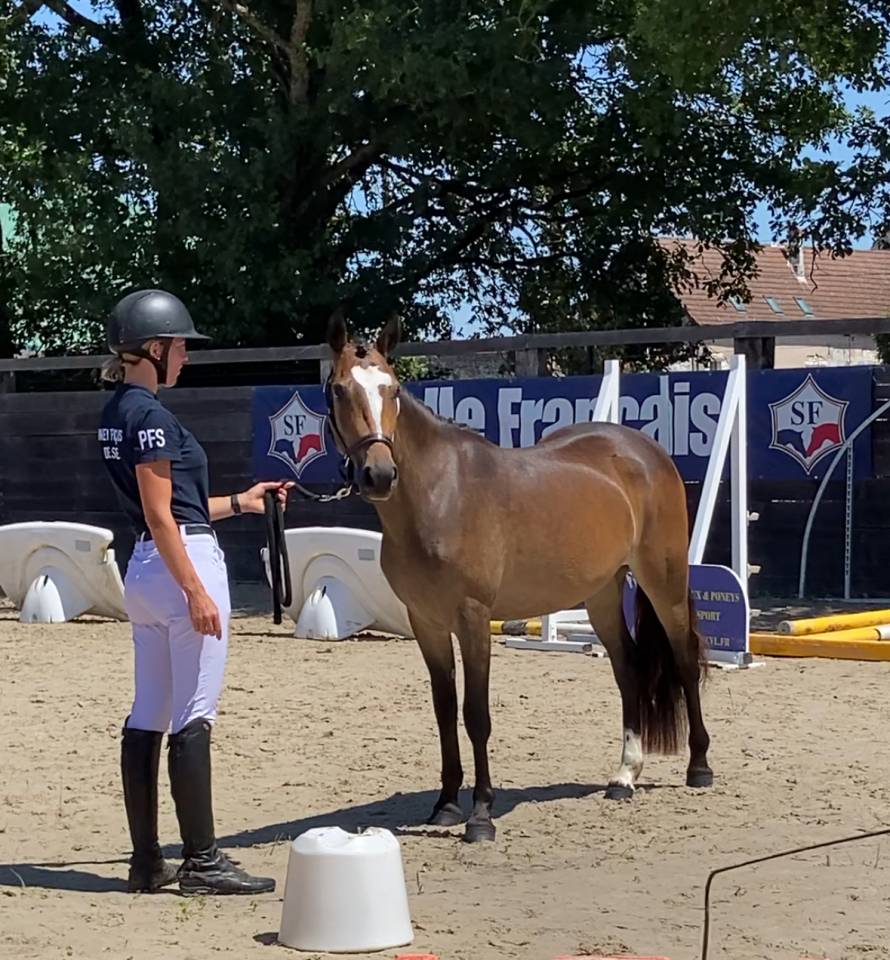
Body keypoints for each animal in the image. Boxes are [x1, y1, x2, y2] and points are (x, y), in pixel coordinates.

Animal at [323, 312, 713, 843]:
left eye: (394, 389)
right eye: (339, 390)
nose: (379, 475)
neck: (439, 493)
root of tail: (645, 450)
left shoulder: (472, 618)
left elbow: (476, 715)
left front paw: (481, 815)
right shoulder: (426, 622)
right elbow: (444, 710)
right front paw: (446, 804)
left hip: (664, 580)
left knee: (686, 660)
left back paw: (699, 767)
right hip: (602, 593)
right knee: (628, 667)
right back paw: (624, 775)